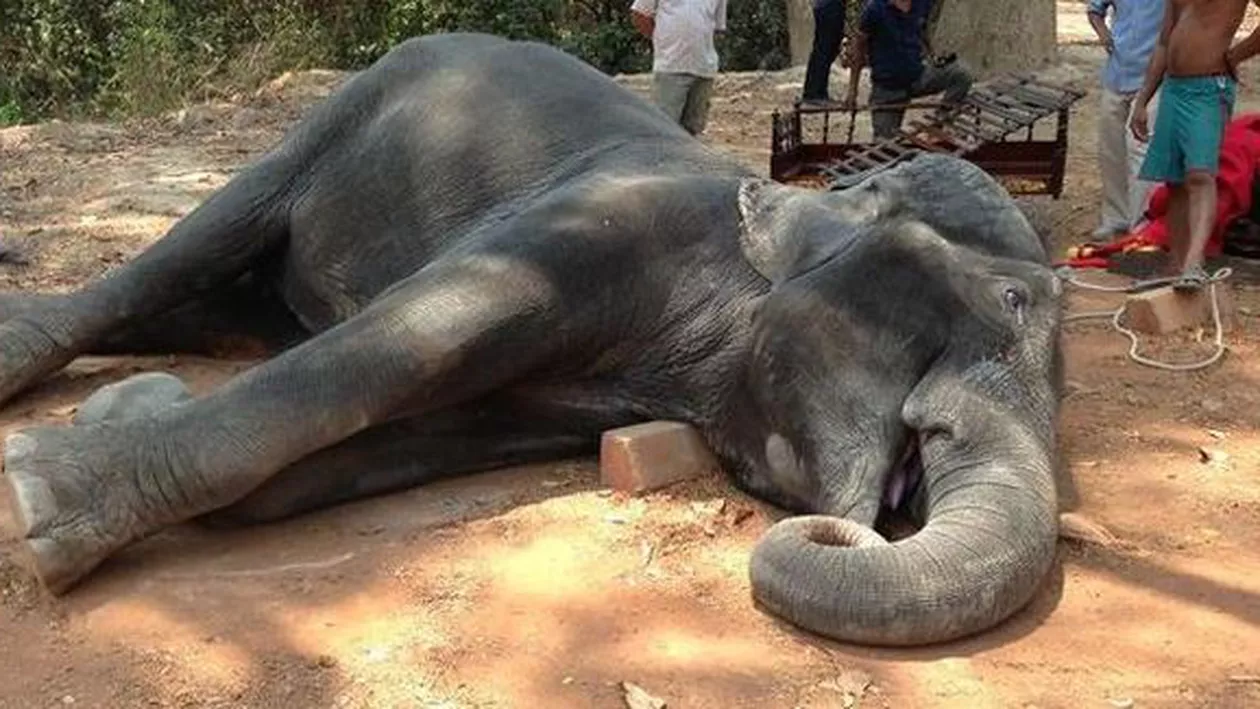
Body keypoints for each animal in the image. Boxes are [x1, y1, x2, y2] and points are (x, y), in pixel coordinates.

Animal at [0, 33, 1063, 647]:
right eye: (1009, 297)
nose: (877, 518)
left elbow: (379, 447)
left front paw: (121, 418)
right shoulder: (592, 226)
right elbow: (411, 337)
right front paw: (36, 498)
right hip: (334, 117)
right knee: (190, 250)